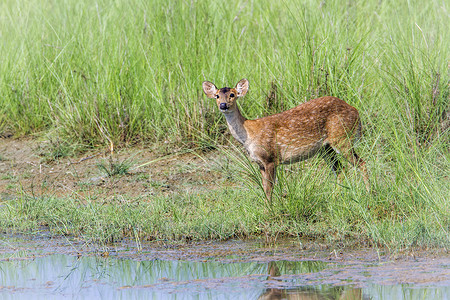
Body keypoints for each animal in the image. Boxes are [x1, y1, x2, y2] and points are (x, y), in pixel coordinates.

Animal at [203, 78, 370, 199]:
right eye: (217, 96)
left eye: (232, 95)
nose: (223, 105)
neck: (249, 135)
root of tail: (356, 112)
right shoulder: (260, 163)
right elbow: (264, 187)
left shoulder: (270, 158)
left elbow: (269, 188)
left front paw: (270, 210)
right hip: (326, 148)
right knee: (340, 169)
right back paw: (335, 196)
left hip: (342, 137)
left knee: (361, 163)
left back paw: (369, 192)